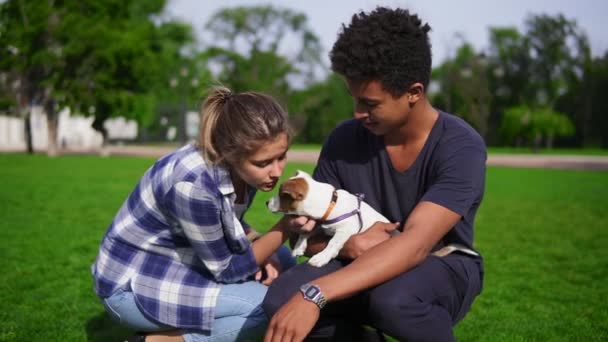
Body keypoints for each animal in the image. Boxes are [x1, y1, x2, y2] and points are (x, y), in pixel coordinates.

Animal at [266, 170, 480, 268]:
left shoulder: (345, 230)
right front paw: (299, 247)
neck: (330, 203)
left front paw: (321, 257)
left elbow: (333, 243)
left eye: (281, 195)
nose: (267, 202)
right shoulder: (322, 224)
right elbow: (307, 232)